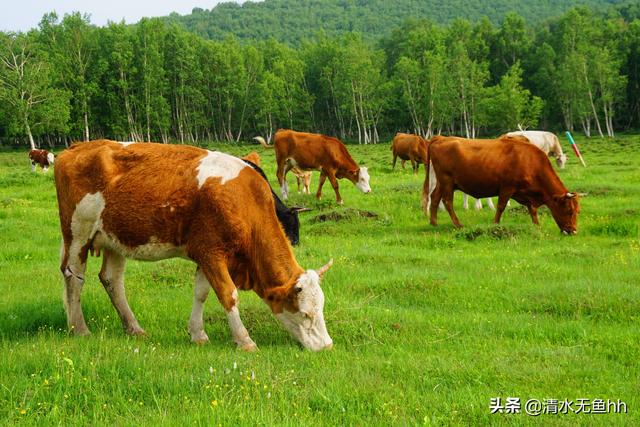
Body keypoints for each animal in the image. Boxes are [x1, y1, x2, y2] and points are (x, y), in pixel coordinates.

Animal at [55, 140, 336, 352]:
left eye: (321, 308)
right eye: (306, 314)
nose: (327, 346)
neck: (244, 200)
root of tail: (75, 148)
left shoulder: (205, 253)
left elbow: (201, 293)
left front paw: (198, 334)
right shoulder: (211, 253)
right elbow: (228, 294)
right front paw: (244, 340)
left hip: (115, 239)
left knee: (112, 280)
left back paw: (134, 328)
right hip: (78, 232)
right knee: (74, 277)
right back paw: (79, 328)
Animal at [422, 136, 584, 234]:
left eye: (578, 211)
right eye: (569, 211)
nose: (573, 231)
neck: (530, 160)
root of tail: (441, 138)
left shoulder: (525, 193)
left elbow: (532, 209)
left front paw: (536, 226)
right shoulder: (507, 187)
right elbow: (501, 206)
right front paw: (495, 224)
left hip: (442, 183)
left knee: (434, 198)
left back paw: (434, 222)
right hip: (447, 181)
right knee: (447, 201)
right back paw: (458, 224)